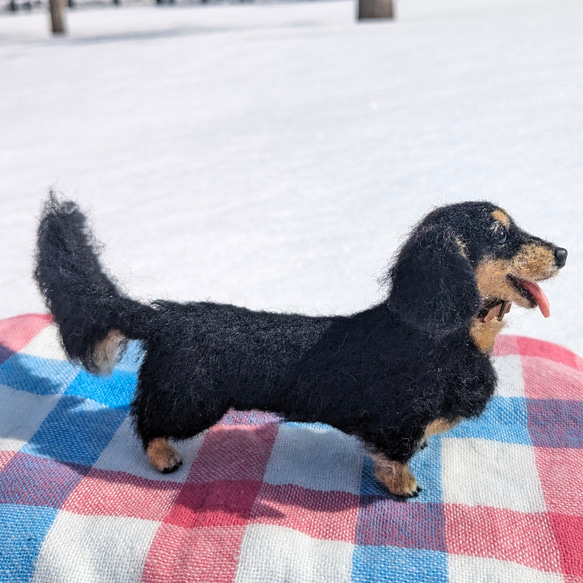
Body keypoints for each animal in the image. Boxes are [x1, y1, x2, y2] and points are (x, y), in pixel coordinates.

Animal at [34, 198, 568, 500]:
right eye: (499, 232)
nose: (564, 253)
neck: (447, 337)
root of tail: (165, 316)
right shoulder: (396, 424)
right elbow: (393, 460)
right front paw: (402, 486)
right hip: (190, 400)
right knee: (145, 420)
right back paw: (163, 457)